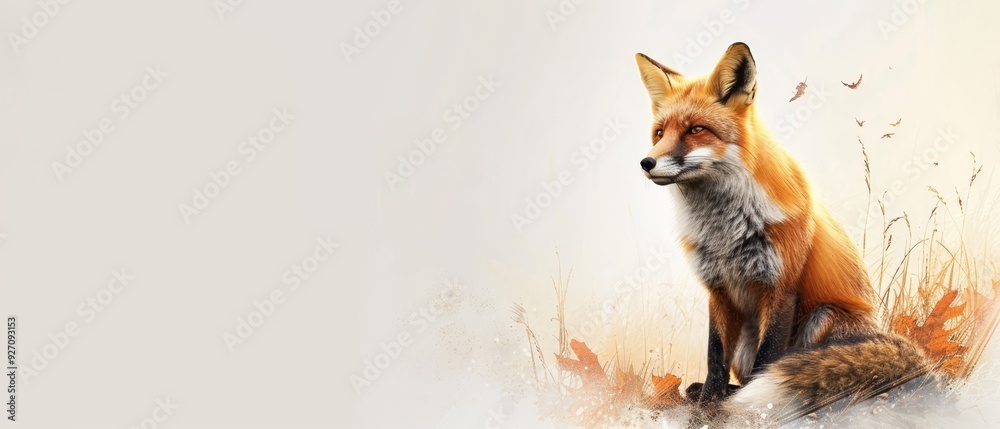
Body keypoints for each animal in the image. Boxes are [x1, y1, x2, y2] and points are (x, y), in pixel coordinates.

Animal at [633, 42, 932, 423]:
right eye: (659, 133)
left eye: (696, 130)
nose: (646, 163)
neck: (724, 229)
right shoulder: (717, 290)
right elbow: (715, 359)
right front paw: (707, 406)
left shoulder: (781, 286)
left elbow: (768, 359)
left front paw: (746, 412)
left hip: (823, 317)